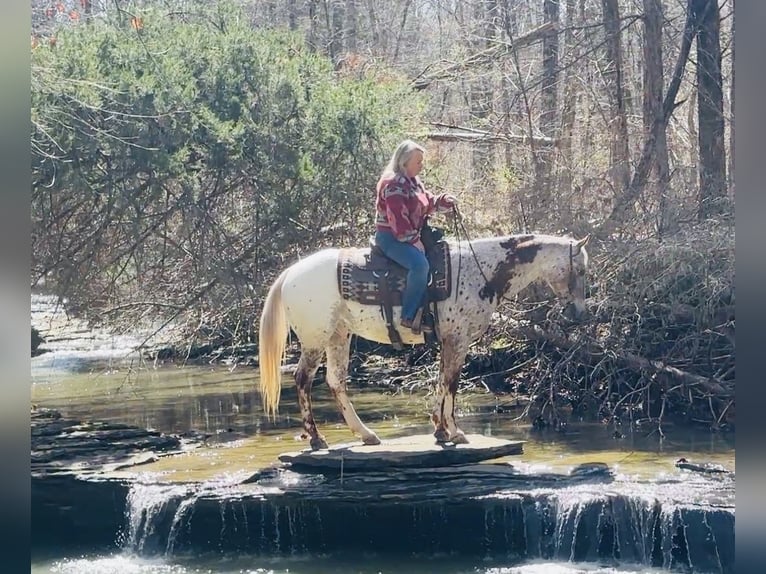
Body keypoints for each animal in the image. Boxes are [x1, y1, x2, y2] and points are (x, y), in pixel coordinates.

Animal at [258, 232, 590, 450]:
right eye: (581, 269)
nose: (579, 312)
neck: (479, 272)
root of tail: (290, 273)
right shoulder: (458, 339)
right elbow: (452, 382)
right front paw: (454, 431)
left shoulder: (449, 340)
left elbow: (442, 381)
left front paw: (439, 429)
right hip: (315, 339)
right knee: (303, 379)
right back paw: (316, 438)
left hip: (339, 335)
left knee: (336, 381)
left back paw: (366, 435)